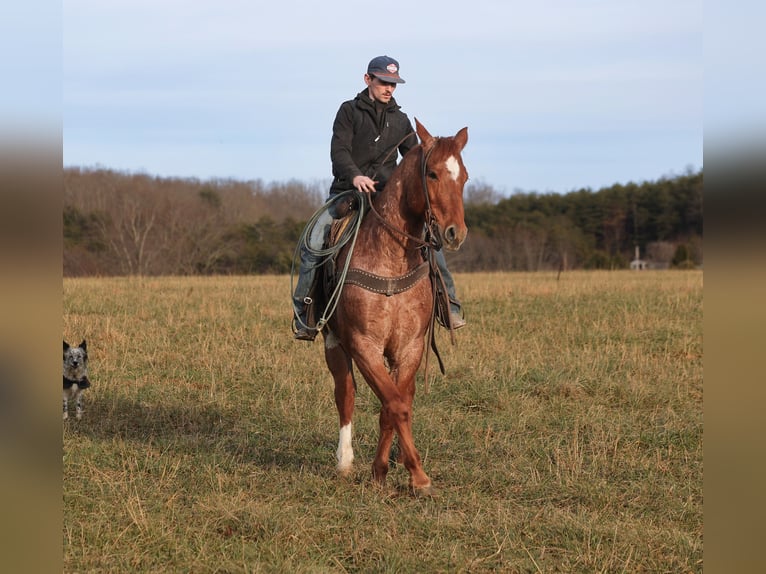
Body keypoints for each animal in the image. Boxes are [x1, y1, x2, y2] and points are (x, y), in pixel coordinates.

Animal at [322, 119, 469, 496]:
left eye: (464, 177)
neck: (390, 258)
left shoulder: (410, 346)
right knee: (345, 394)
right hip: (333, 343)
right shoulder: (364, 345)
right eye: (432, 173)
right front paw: (418, 475)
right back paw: (344, 462)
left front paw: (388, 468)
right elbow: (395, 405)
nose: (455, 233)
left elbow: (394, 405)